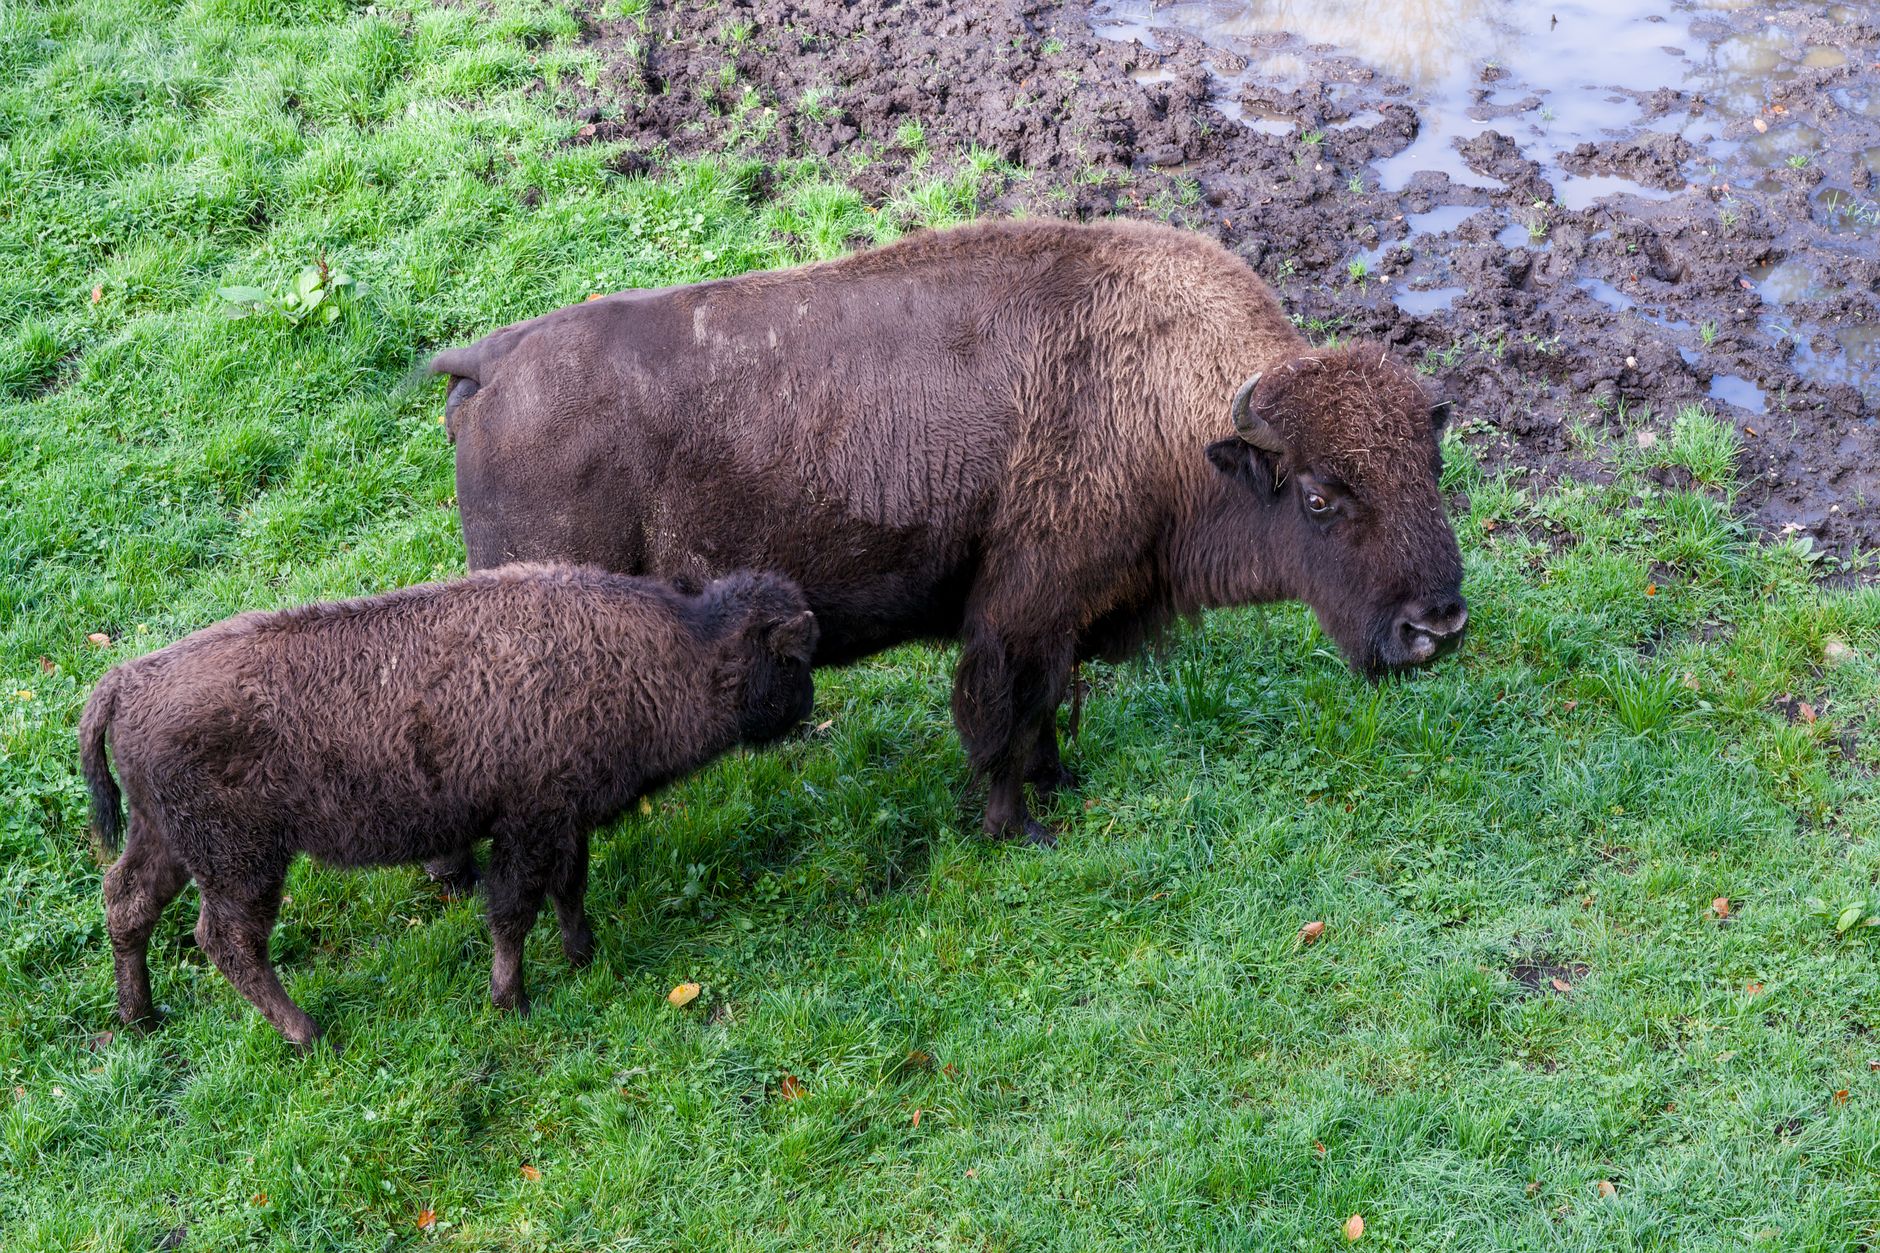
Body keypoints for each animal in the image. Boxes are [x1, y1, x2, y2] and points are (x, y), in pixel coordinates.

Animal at [431, 219, 1466, 846]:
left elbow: (1045, 709)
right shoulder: (1019, 611)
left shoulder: (1066, 616)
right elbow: (1002, 716)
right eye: (1321, 497)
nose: (1439, 626)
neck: (1164, 403)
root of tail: (491, 363)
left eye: (1433, 463)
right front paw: (1019, 826)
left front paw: (1060, 784)